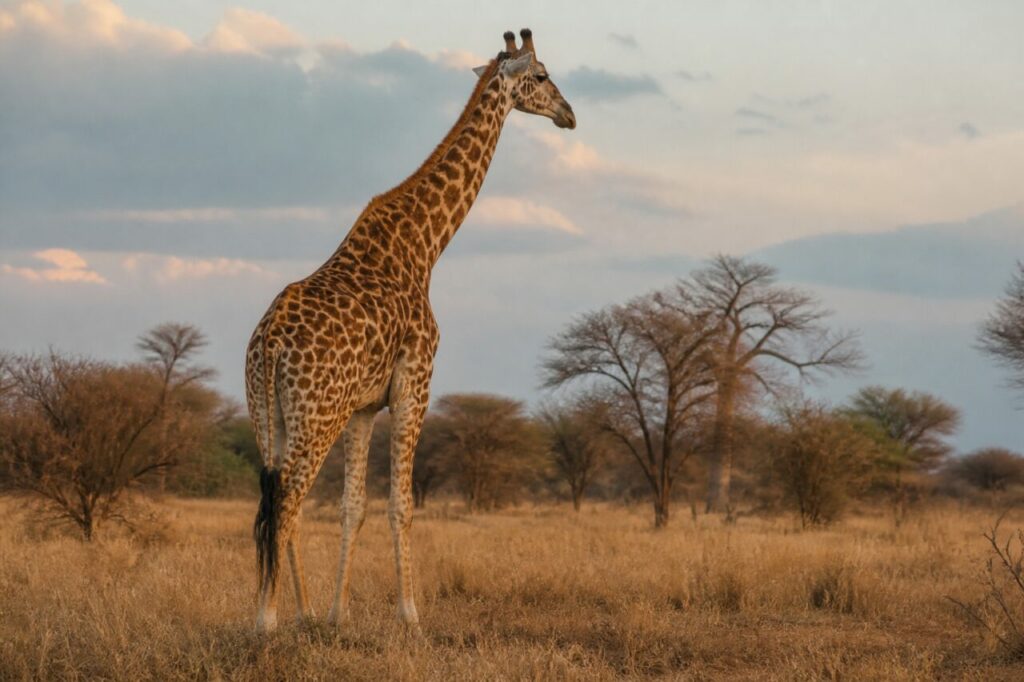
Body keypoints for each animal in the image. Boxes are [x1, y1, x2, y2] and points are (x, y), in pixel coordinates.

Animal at [245, 28, 575, 633]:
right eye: (541, 76)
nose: (569, 115)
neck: (425, 245)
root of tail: (270, 341)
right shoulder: (414, 383)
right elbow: (402, 504)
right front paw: (411, 614)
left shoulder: (362, 406)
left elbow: (354, 507)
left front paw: (338, 615)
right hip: (314, 417)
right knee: (286, 504)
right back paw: (268, 621)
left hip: (268, 415)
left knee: (276, 502)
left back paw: (302, 612)